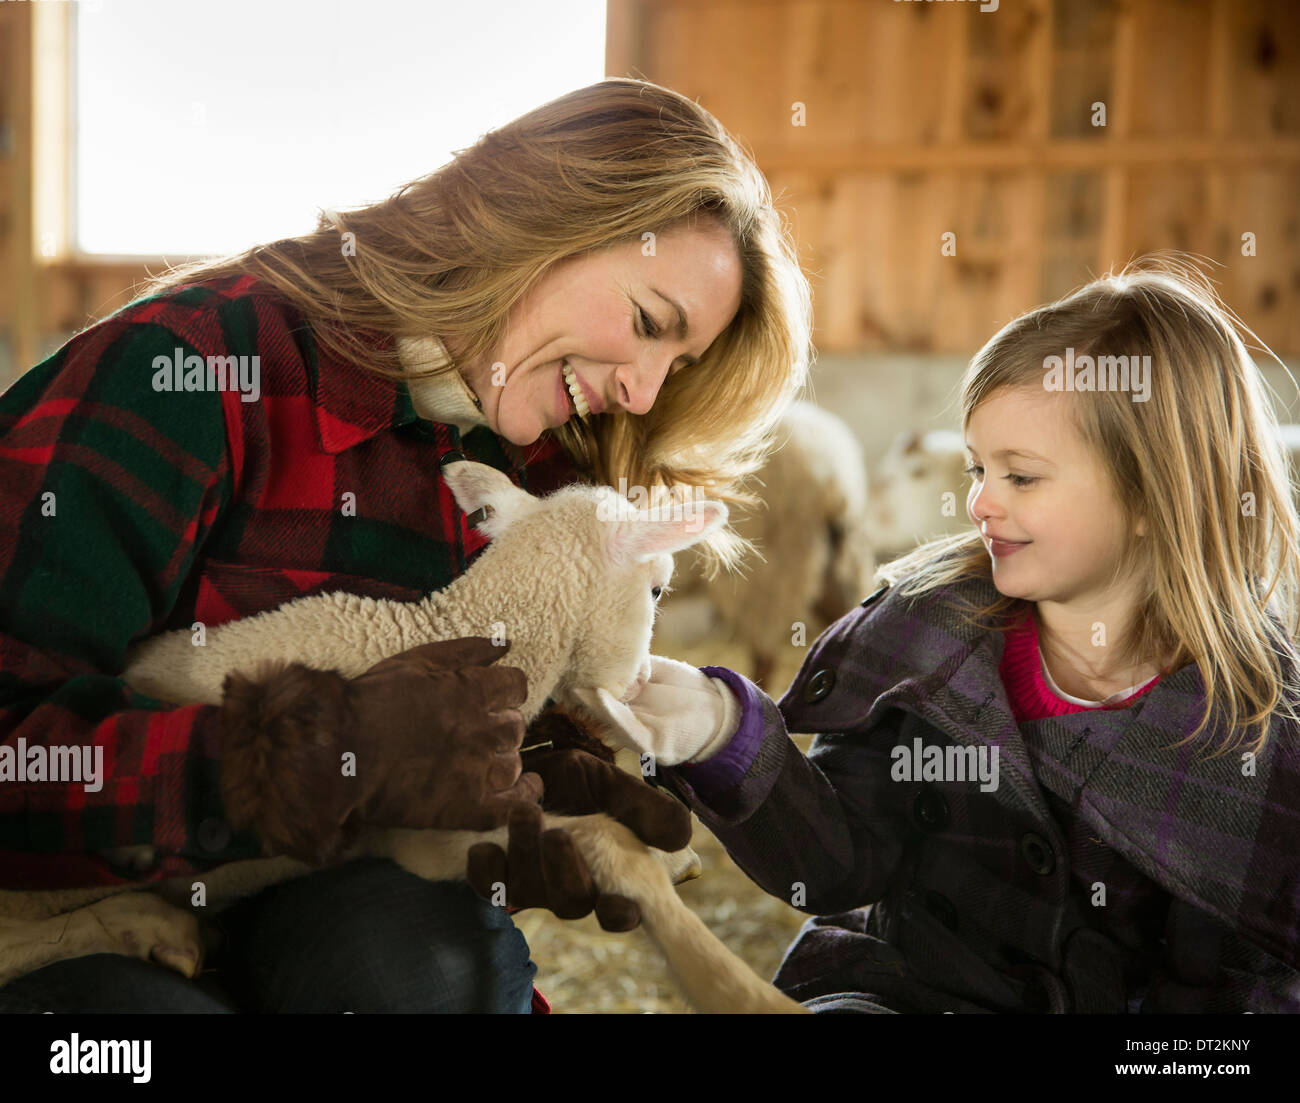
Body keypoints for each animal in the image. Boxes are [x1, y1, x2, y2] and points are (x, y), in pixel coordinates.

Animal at [0, 460, 806, 1014]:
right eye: (658, 588)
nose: (638, 681)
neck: (441, 631)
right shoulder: (430, 823)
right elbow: (610, 843)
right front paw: (735, 986)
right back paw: (144, 925)